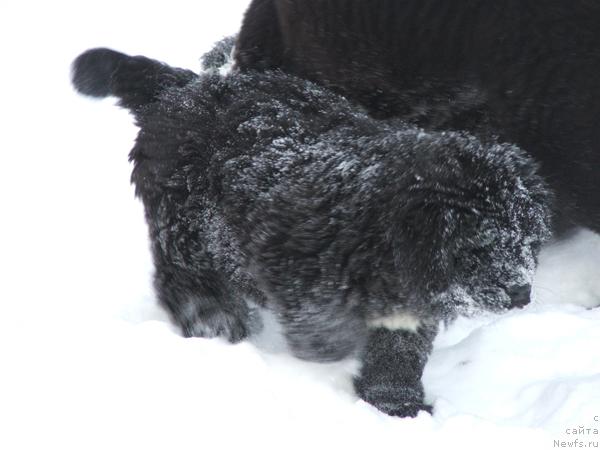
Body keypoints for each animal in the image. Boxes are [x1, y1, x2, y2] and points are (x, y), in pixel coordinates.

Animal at [72, 47, 552, 416]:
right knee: (183, 278)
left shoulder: (410, 308)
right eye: (479, 246)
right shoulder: (297, 272)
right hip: (186, 224)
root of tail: (186, 89)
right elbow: (323, 337)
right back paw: (216, 321)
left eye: (529, 243)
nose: (521, 294)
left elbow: (398, 352)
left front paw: (395, 405)